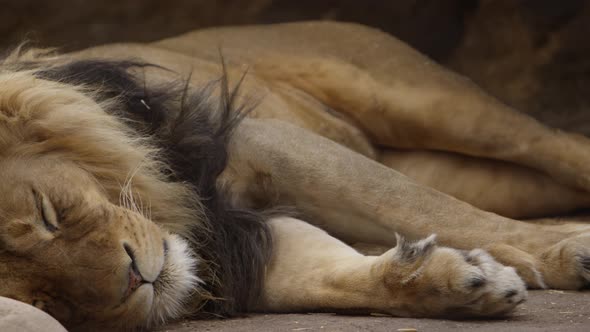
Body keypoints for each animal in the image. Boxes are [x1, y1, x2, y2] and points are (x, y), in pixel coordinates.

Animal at [1, 21, 590, 330]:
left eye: (48, 214)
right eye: (46, 301)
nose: (135, 280)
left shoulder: (270, 144)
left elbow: (418, 204)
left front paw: (570, 251)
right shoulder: (236, 244)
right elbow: (328, 277)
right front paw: (454, 282)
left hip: (436, 106)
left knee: (562, 146)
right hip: (485, 175)